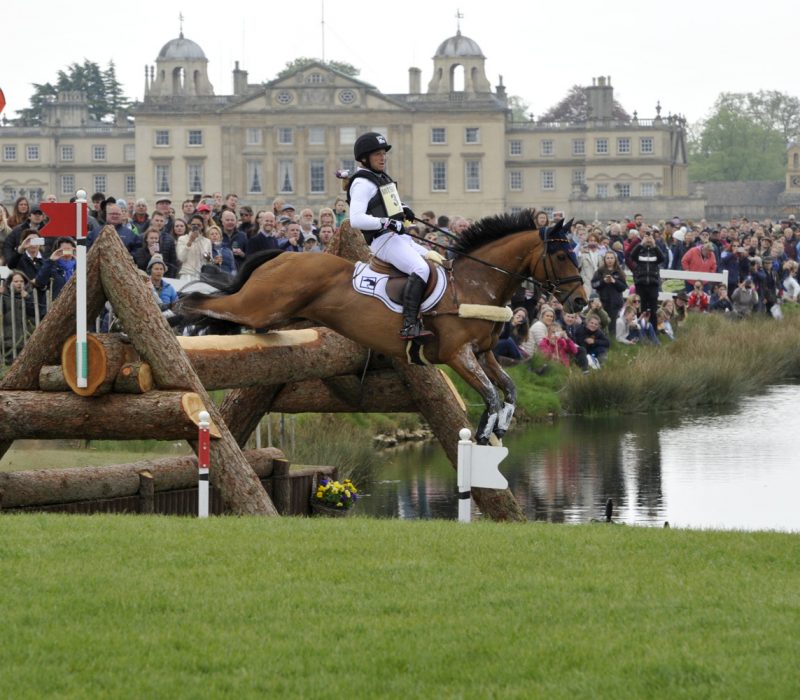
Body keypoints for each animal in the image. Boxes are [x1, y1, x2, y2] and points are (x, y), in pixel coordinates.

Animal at [178, 211, 584, 446]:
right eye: (561, 254)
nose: (580, 302)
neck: (474, 284)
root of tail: (283, 255)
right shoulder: (458, 354)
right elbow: (491, 394)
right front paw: (485, 429)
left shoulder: (483, 352)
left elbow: (510, 389)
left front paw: (501, 426)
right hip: (258, 306)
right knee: (204, 303)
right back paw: (180, 318)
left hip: (273, 317)